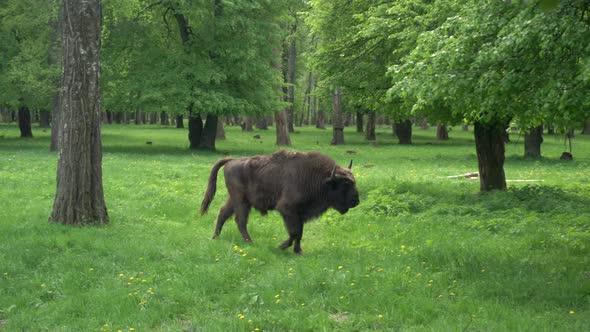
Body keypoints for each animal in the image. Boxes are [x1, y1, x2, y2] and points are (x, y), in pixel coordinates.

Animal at [201, 150, 360, 254]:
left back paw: (215, 237)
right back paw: (250, 243)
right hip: (241, 201)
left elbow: (299, 232)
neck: (321, 179)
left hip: (236, 200)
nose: (356, 201)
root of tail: (231, 160)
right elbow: (295, 232)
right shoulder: (287, 209)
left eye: (353, 182)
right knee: (240, 221)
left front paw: (298, 251)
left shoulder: (299, 214)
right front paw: (281, 246)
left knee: (223, 213)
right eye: (345, 184)